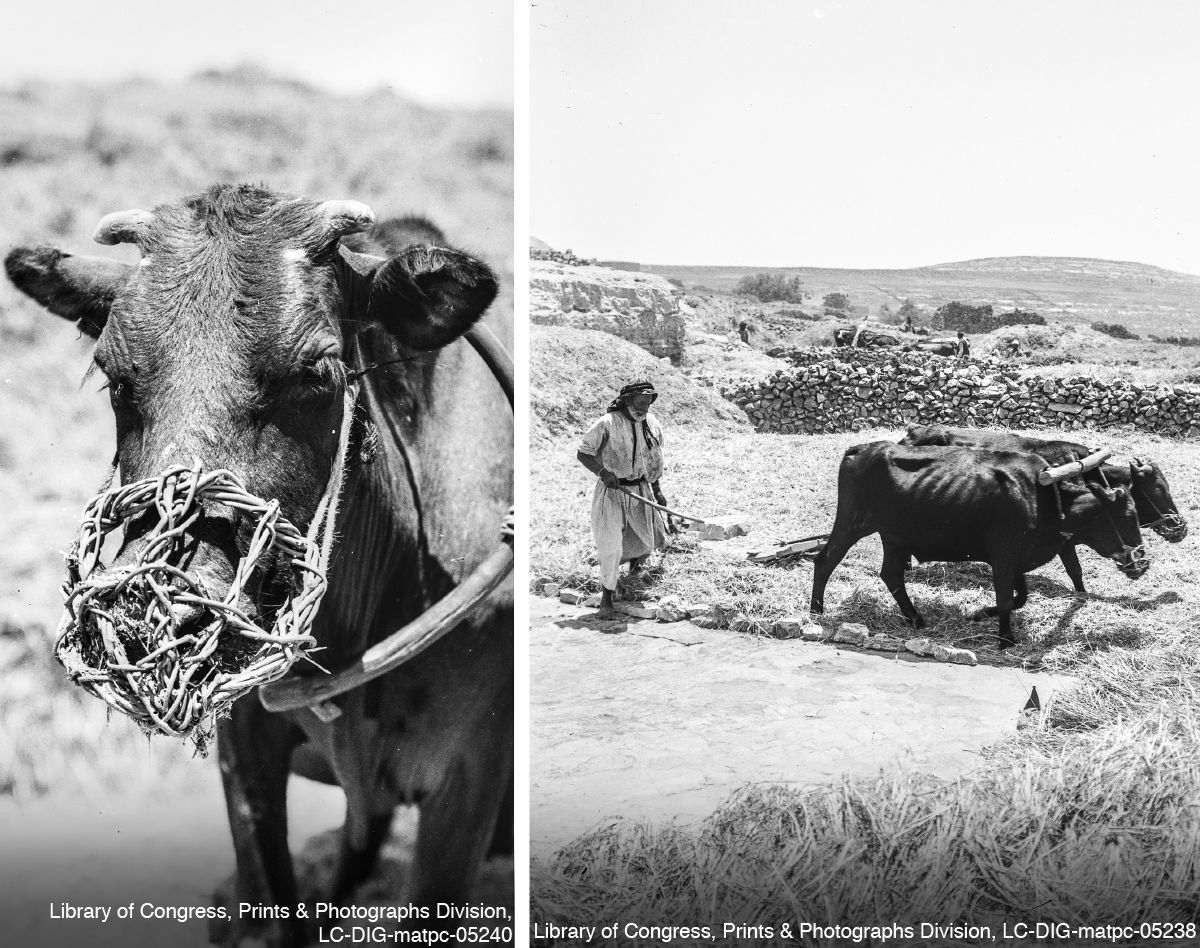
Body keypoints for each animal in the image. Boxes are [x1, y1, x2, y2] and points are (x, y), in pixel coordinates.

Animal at [809, 442, 1149, 648]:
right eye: (1127, 516)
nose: (1142, 563)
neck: (1044, 499)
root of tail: (860, 448)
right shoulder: (1004, 557)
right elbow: (1007, 598)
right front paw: (1005, 638)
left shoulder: (1017, 560)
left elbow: (1019, 598)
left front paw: (980, 614)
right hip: (852, 523)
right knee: (826, 560)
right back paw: (816, 612)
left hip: (893, 536)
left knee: (891, 574)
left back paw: (916, 618)